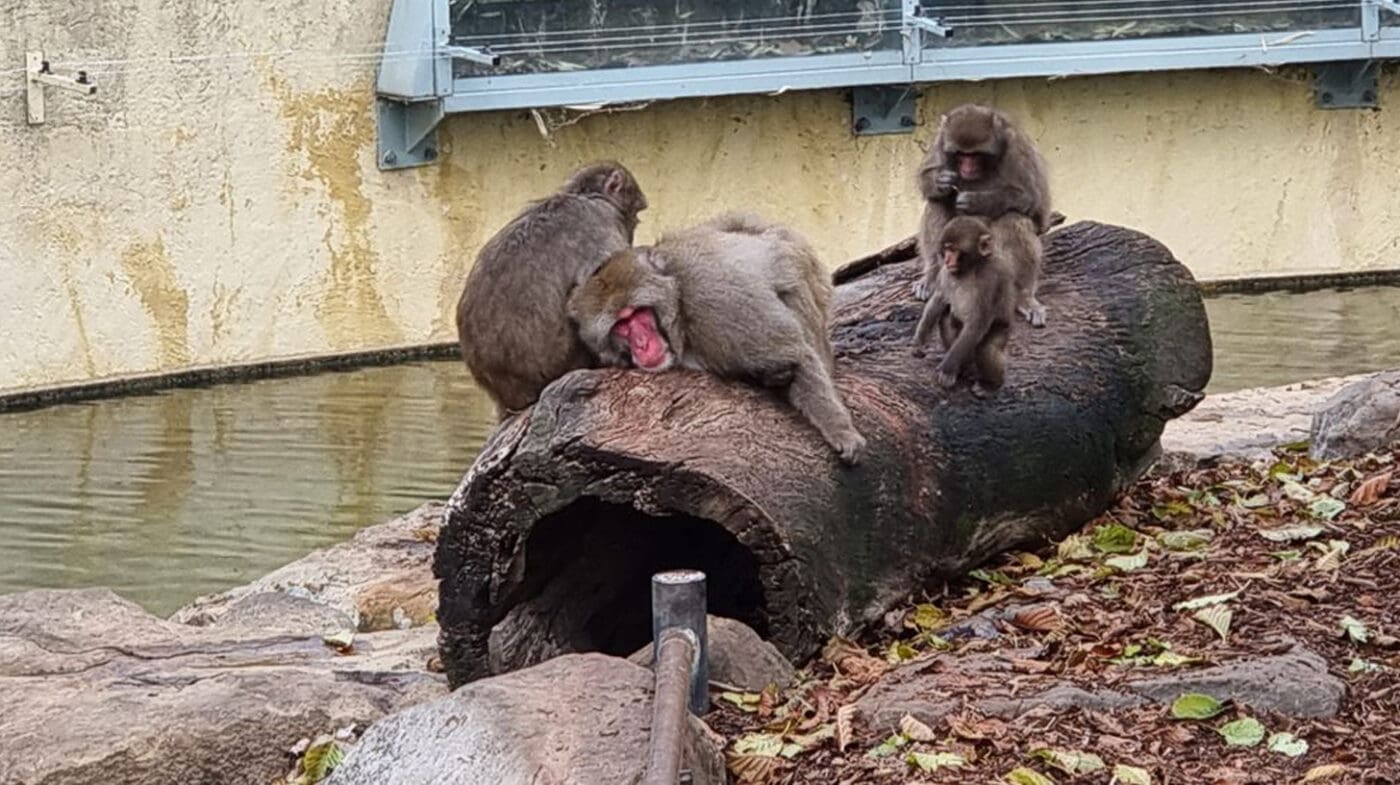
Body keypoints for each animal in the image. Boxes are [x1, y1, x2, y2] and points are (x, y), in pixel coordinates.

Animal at [453, 157, 644, 416]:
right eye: (636, 214)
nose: (635, 226)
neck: (584, 195)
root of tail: (506, 396)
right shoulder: (600, 225)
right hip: (557, 362)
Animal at [565, 211, 862, 461]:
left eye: (638, 313)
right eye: (621, 325)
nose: (642, 343)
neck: (679, 306)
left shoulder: (713, 299)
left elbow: (794, 354)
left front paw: (840, 430)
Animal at [907, 214, 1019, 394]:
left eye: (953, 250)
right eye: (946, 249)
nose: (946, 259)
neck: (971, 268)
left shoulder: (993, 278)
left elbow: (977, 322)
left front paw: (947, 370)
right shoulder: (945, 272)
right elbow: (938, 300)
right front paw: (919, 342)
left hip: (1001, 330)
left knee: (986, 349)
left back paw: (990, 384)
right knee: (946, 318)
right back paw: (964, 368)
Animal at [912, 104, 1047, 327]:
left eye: (975, 155)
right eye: (961, 154)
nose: (967, 167)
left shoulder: (1017, 149)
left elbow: (1036, 203)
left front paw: (979, 201)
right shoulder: (940, 140)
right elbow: (927, 179)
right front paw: (941, 182)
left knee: (1013, 218)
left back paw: (1023, 295)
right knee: (937, 203)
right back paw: (932, 277)